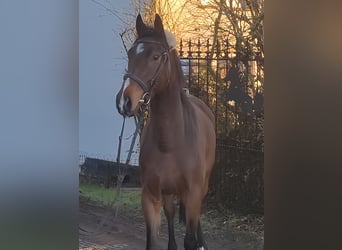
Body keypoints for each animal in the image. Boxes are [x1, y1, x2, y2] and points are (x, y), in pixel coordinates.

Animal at [116, 14, 215, 250]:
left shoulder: (193, 193)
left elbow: (190, 239)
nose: (125, 101)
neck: (170, 142)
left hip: (202, 187)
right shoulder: (150, 196)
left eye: (155, 56)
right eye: (130, 53)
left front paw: (197, 242)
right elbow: (152, 241)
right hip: (168, 193)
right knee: (170, 214)